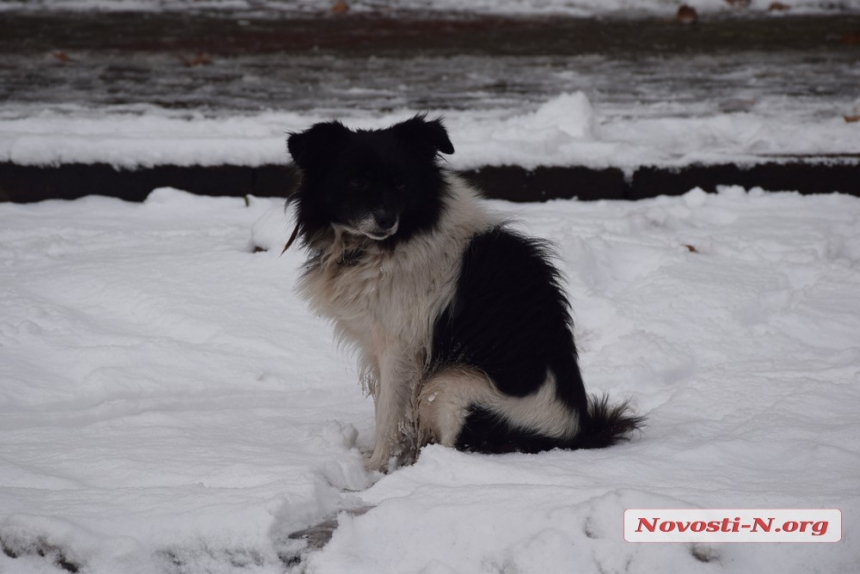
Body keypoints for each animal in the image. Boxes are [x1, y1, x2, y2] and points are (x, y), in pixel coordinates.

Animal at [286, 116, 640, 472]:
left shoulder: (401, 347)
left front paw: (377, 466)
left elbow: (390, 415)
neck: (391, 242)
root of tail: (575, 435)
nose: (386, 221)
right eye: (357, 182)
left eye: (400, 184)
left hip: (454, 386)